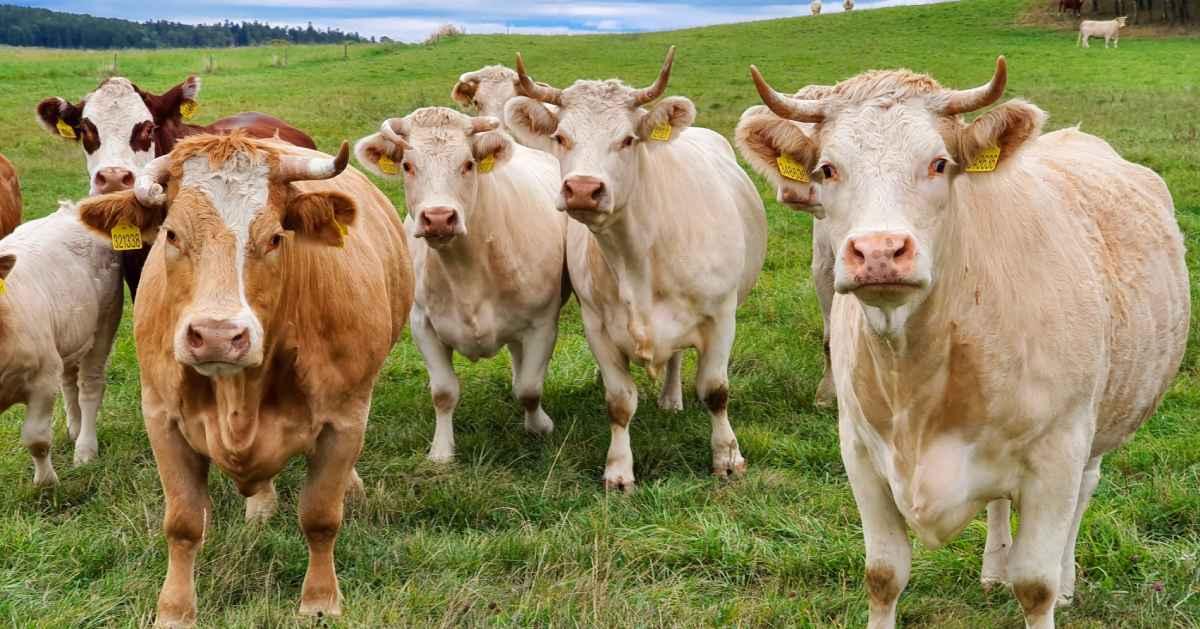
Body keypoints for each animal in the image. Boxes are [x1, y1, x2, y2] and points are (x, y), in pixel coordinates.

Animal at [0, 203, 122, 486]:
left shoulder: (43, 378)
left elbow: (36, 439)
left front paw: (47, 483)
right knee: (69, 383)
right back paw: (74, 429)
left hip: (105, 321)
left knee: (89, 387)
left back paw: (85, 449)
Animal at [74, 133, 413, 626]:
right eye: (172, 235)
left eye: (274, 238)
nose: (217, 336)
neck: (240, 394)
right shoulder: (161, 417)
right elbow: (183, 523)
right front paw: (174, 609)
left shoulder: (345, 419)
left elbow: (321, 516)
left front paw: (320, 600)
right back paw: (261, 505)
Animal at [353, 107, 567, 463]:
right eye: (407, 166)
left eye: (467, 164)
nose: (439, 217)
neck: (467, 270)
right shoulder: (423, 324)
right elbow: (443, 392)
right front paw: (441, 451)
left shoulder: (543, 324)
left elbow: (530, 388)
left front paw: (539, 427)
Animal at [505, 48, 768, 491]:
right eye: (561, 137)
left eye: (627, 139)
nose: (582, 190)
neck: (637, 255)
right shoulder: (597, 325)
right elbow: (619, 402)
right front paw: (618, 470)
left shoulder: (721, 315)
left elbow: (715, 390)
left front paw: (727, 457)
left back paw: (672, 399)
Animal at [741, 57, 1189, 628]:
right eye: (827, 170)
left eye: (938, 164)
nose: (879, 251)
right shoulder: (859, 452)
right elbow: (883, 575)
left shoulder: (1058, 454)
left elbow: (1036, 585)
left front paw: (1050, 586)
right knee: (999, 504)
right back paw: (994, 567)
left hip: (1102, 419)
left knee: (1084, 494)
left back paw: (1067, 580)